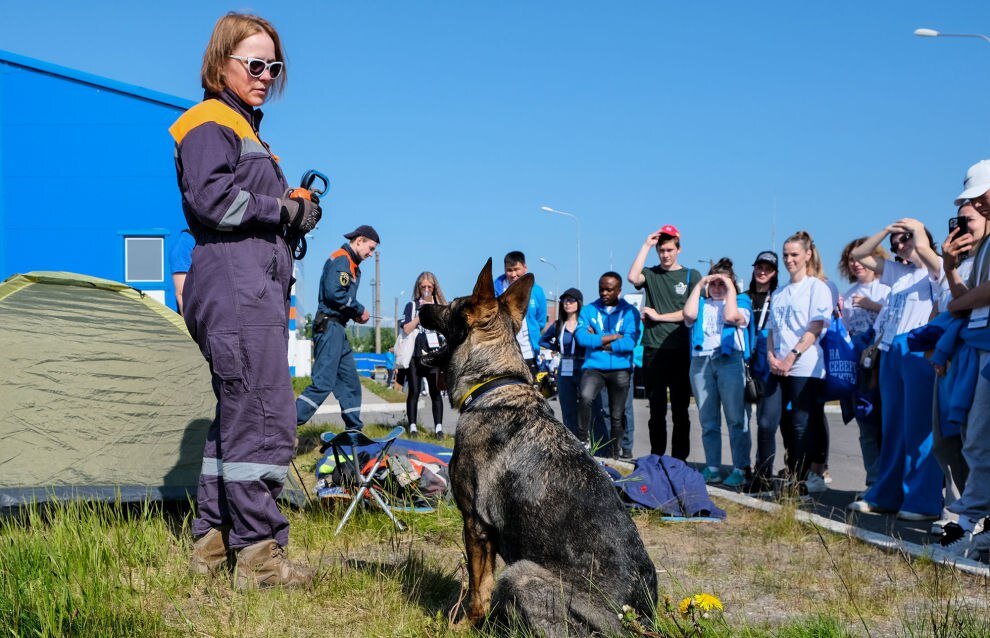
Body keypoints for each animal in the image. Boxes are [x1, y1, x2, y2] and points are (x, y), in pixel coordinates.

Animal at [418, 262, 660, 638]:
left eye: (451, 305)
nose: (420, 306)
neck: (495, 382)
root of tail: (634, 621)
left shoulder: (475, 525)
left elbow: (478, 589)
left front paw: (463, 626)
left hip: (519, 573)